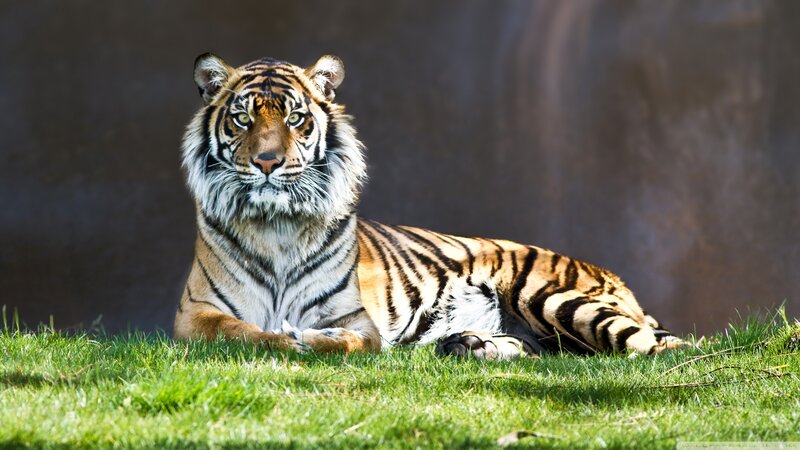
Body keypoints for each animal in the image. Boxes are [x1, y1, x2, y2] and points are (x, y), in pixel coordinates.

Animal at [173, 53, 685, 359]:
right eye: (242, 118)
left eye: (296, 118)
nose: (267, 161)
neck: (276, 225)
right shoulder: (194, 316)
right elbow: (244, 333)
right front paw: (286, 338)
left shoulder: (357, 320)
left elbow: (348, 342)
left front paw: (310, 339)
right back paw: (468, 344)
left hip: (556, 298)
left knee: (659, 348)